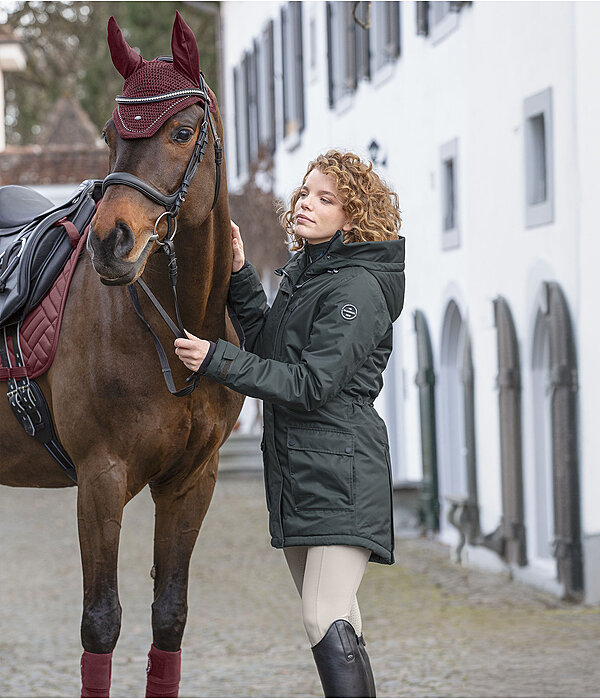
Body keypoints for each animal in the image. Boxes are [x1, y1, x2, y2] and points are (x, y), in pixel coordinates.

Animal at [0, 13, 244, 696]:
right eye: (112, 135)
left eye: (182, 132)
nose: (113, 242)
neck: (175, 330)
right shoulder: (100, 479)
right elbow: (101, 624)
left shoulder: (192, 482)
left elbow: (170, 618)